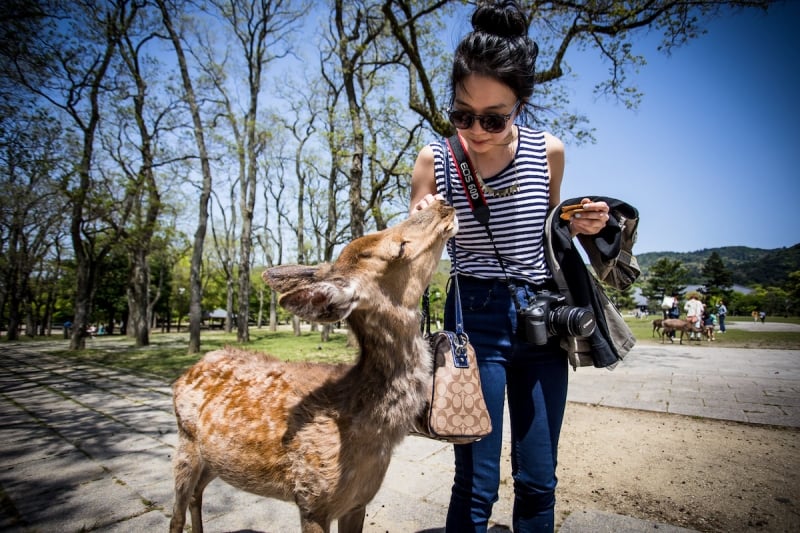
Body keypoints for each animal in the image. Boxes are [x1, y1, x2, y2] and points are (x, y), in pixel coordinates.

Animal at [169, 201, 456, 532]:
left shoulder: (359, 501)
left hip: (214, 458)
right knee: (177, 512)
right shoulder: (312, 497)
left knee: (197, 493)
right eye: (399, 248)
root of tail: (186, 373)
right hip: (185, 443)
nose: (443, 205)